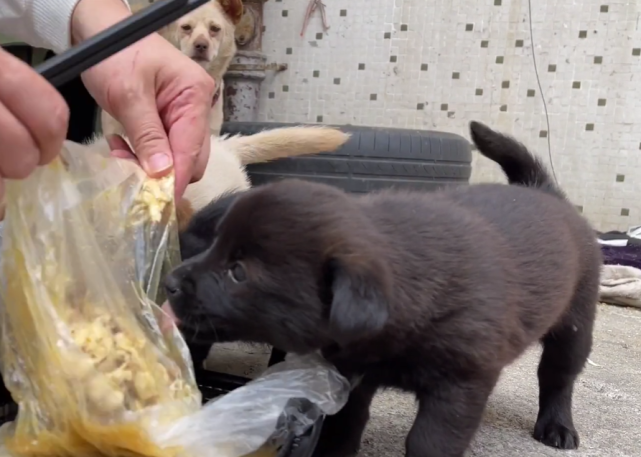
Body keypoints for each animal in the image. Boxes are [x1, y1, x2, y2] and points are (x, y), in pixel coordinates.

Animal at [165, 122, 600, 456]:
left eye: (238, 272)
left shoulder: (460, 385)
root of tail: (541, 189)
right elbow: (345, 424)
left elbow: (430, 442)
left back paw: (557, 427)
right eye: (215, 248)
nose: (169, 282)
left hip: (575, 324)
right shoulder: (350, 375)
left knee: (558, 376)